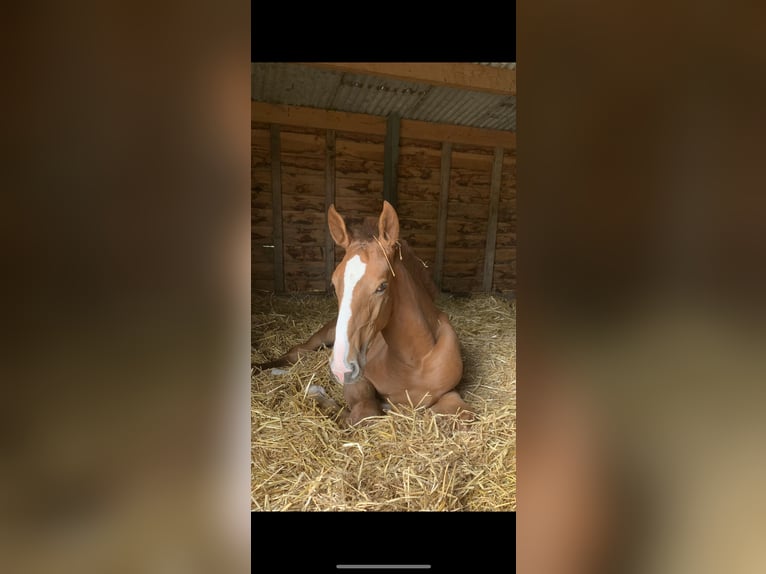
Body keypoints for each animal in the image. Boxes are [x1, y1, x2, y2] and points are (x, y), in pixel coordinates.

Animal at [258, 201, 474, 428]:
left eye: (382, 286)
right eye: (334, 284)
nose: (341, 368)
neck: (415, 362)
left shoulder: (449, 392)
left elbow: (465, 414)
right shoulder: (359, 380)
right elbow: (365, 414)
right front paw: (317, 394)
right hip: (325, 335)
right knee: (296, 352)